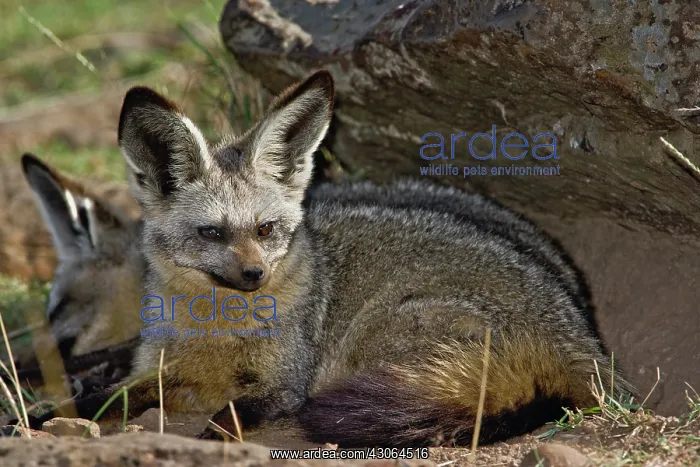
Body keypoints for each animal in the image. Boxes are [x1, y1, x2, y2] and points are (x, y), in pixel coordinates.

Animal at [24, 69, 632, 448]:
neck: (217, 333)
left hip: (368, 342)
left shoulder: (284, 385)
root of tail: (584, 346)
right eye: (210, 233)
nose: (255, 274)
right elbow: (99, 399)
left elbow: (228, 418)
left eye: (266, 230)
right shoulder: (158, 370)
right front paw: (37, 415)